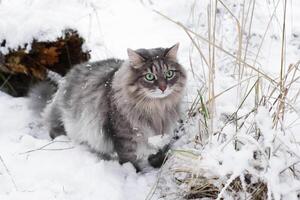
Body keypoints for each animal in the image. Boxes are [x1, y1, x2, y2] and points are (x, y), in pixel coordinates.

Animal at [29, 43, 186, 170]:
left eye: (169, 74)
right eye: (149, 77)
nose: (163, 88)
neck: (156, 108)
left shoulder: (163, 132)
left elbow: (160, 149)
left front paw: (158, 163)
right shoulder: (124, 136)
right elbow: (129, 159)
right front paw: (134, 172)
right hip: (68, 122)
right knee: (55, 130)